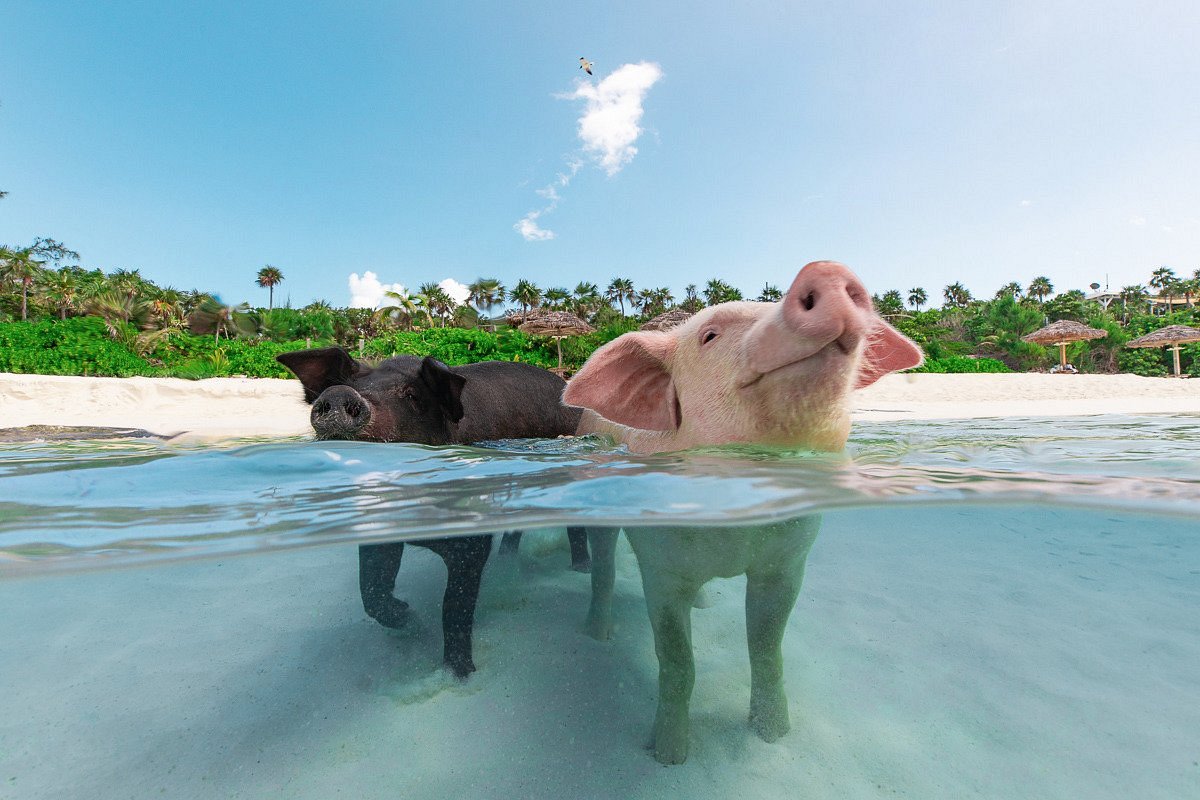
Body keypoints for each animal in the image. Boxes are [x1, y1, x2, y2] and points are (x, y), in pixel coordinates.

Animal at [276, 347, 585, 681]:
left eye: (412, 395)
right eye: (349, 383)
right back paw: (507, 561)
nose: (338, 394)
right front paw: (409, 618)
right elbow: (371, 590)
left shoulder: (471, 539)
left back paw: (580, 570)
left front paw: (460, 674)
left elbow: (454, 606)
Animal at [566, 261, 921, 762]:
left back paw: (705, 603)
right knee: (604, 567)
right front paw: (669, 756)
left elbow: (767, 646)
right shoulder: (661, 569)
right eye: (710, 336)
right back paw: (598, 633)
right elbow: (677, 658)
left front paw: (774, 735)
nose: (825, 268)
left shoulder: (786, 562)